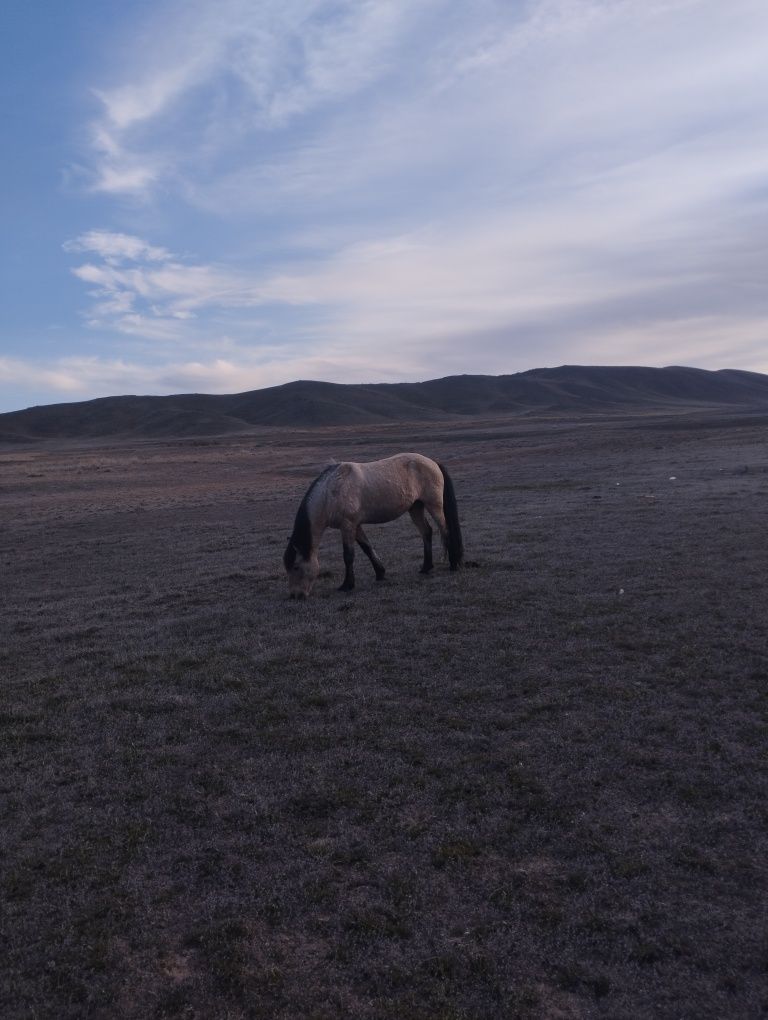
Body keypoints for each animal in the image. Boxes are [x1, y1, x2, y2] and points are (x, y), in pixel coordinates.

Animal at [281, 454, 461, 595]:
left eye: (296, 567)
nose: (295, 595)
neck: (330, 492)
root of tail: (432, 462)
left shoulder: (348, 525)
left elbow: (348, 555)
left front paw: (347, 585)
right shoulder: (355, 526)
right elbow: (367, 548)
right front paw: (380, 573)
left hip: (434, 506)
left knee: (445, 530)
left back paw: (453, 563)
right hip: (416, 507)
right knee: (426, 532)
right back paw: (426, 567)